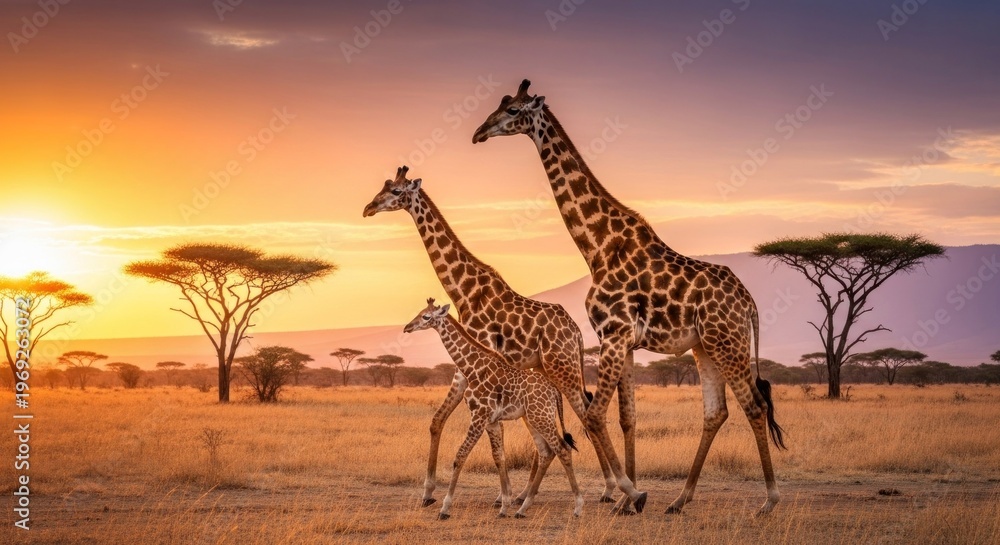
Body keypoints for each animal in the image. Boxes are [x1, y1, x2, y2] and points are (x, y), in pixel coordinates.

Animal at [403, 298, 584, 520]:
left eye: (426, 316)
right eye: (420, 312)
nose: (407, 327)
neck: (472, 367)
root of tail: (555, 391)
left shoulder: (479, 416)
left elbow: (460, 456)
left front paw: (445, 508)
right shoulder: (491, 420)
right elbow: (499, 457)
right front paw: (504, 506)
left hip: (541, 417)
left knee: (562, 449)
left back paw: (577, 506)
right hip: (535, 418)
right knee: (546, 452)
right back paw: (522, 509)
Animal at [472, 79, 786, 516]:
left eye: (515, 110)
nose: (479, 132)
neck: (598, 246)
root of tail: (749, 303)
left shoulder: (614, 334)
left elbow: (594, 415)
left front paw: (631, 493)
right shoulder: (621, 340)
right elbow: (626, 418)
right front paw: (627, 497)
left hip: (729, 343)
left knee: (754, 406)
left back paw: (769, 500)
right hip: (704, 347)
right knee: (716, 412)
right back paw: (680, 499)